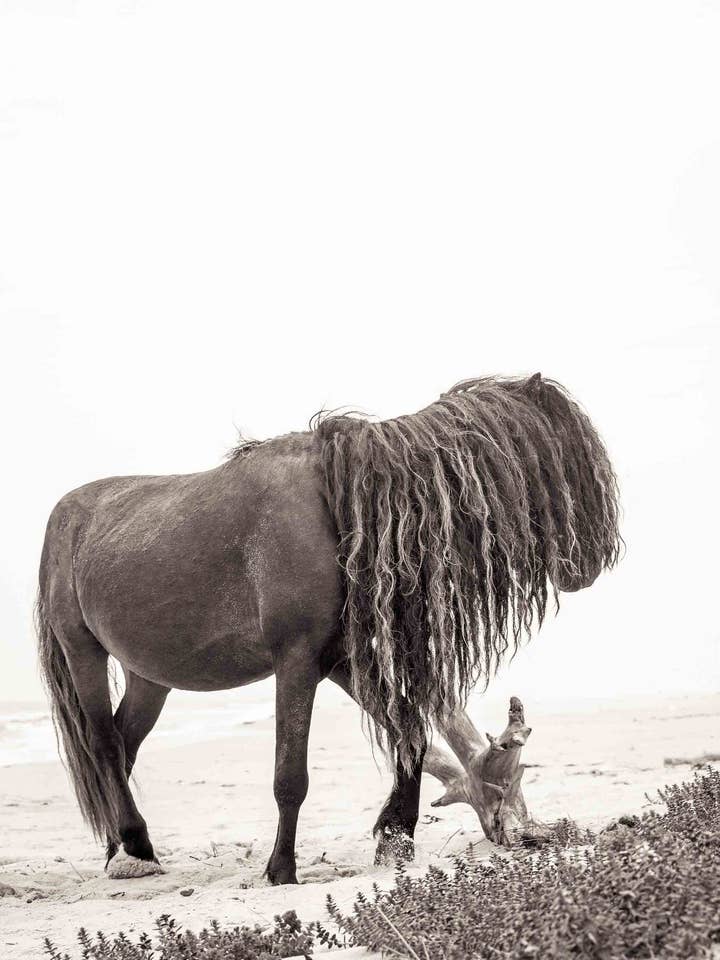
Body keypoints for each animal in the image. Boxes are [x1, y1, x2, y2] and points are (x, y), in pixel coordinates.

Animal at [36, 374, 620, 884]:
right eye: (562, 451)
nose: (592, 563)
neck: (341, 507)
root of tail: (62, 514)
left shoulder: (338, 659)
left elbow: (408, 732)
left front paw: (396, 837)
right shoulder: (296, 659)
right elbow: (290, 776)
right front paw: (281, 869)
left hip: (148, 675)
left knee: (125, 744)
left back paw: (123, 849)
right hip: (83, 651)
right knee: (104, 743)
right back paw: (134, 846)